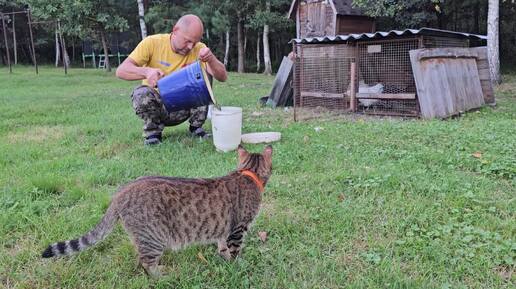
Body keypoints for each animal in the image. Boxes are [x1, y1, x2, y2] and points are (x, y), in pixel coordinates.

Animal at [42, 145, 272, 276]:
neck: (248, 174)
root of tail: (120, 193)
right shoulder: (238, 228)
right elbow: (235, 250)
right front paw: (237, 265)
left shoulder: (225, 228)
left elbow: (222, 244)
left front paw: (223, 257)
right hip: (154, 238)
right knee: (146, 262)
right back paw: (161, 275)